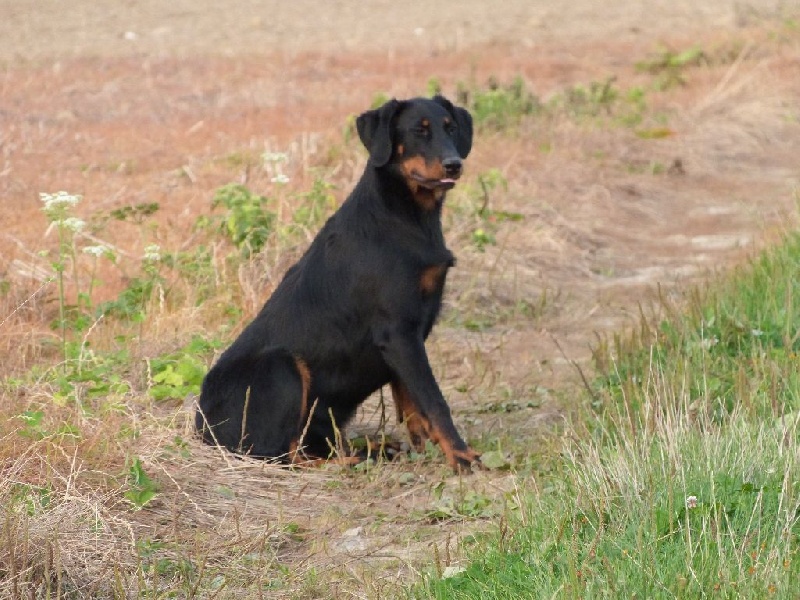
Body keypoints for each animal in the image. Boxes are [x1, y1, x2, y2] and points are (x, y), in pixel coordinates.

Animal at [196, 96, 478, 472]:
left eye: (451, 128)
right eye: (419, 131)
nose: (454, 165)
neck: (406, 214)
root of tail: (201, 427)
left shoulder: (408, 335)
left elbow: (411, 404)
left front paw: (427, 452)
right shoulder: (398, 331)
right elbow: (433, 401)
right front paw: (463, 457)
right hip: (283, 368)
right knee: (280, 454)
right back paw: (359, 457)